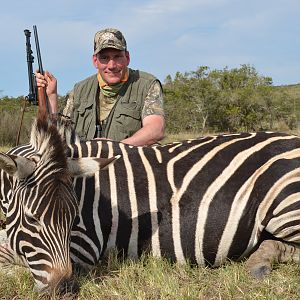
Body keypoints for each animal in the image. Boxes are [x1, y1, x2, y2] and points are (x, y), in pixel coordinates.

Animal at [0, 115, 300, 296]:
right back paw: (258, 263)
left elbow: (9, 260)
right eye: (31, 219)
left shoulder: (85, 245)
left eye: (75, 220)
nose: (64, 291)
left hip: (286, 204)